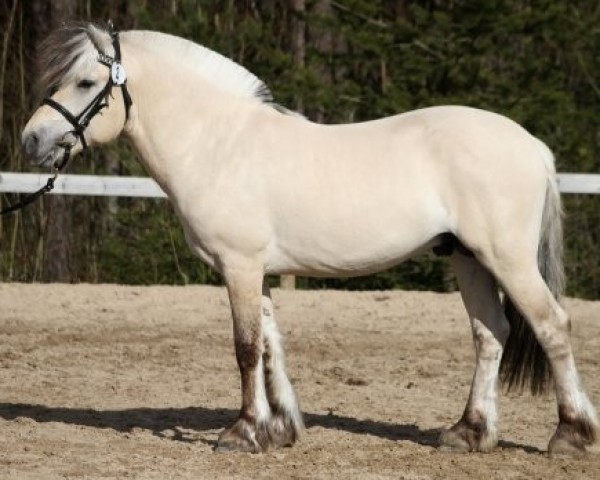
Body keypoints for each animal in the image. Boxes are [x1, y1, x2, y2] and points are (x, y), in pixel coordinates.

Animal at [21, 23, 596, 458]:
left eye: (86, 82)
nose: (31, 139)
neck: (218, 144)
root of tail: (532, 144)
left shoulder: (239, 266)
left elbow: (245, 348)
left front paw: (241, 433)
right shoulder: (257, 271)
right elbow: (270, 345)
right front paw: (279, 429)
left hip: (506, 258)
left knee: (551, 326)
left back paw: (570, 435)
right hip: (469, 259)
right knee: (490, 334)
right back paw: (469, 433)